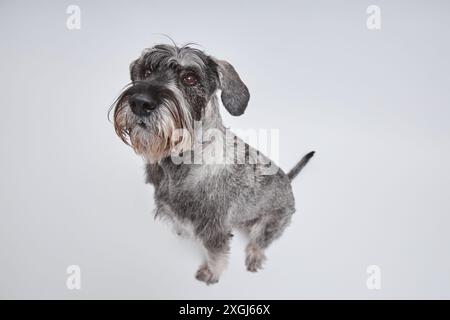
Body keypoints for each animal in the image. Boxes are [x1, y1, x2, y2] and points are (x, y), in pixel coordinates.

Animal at [111, 43, 314, 284]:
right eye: (147, 71)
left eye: (190, 78)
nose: (140, 102)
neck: (180, 161)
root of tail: (289, 183)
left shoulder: (213, 231)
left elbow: (217, 256)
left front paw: (210, 274)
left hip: (271, 222)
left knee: (259, 242)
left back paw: (254, 256)